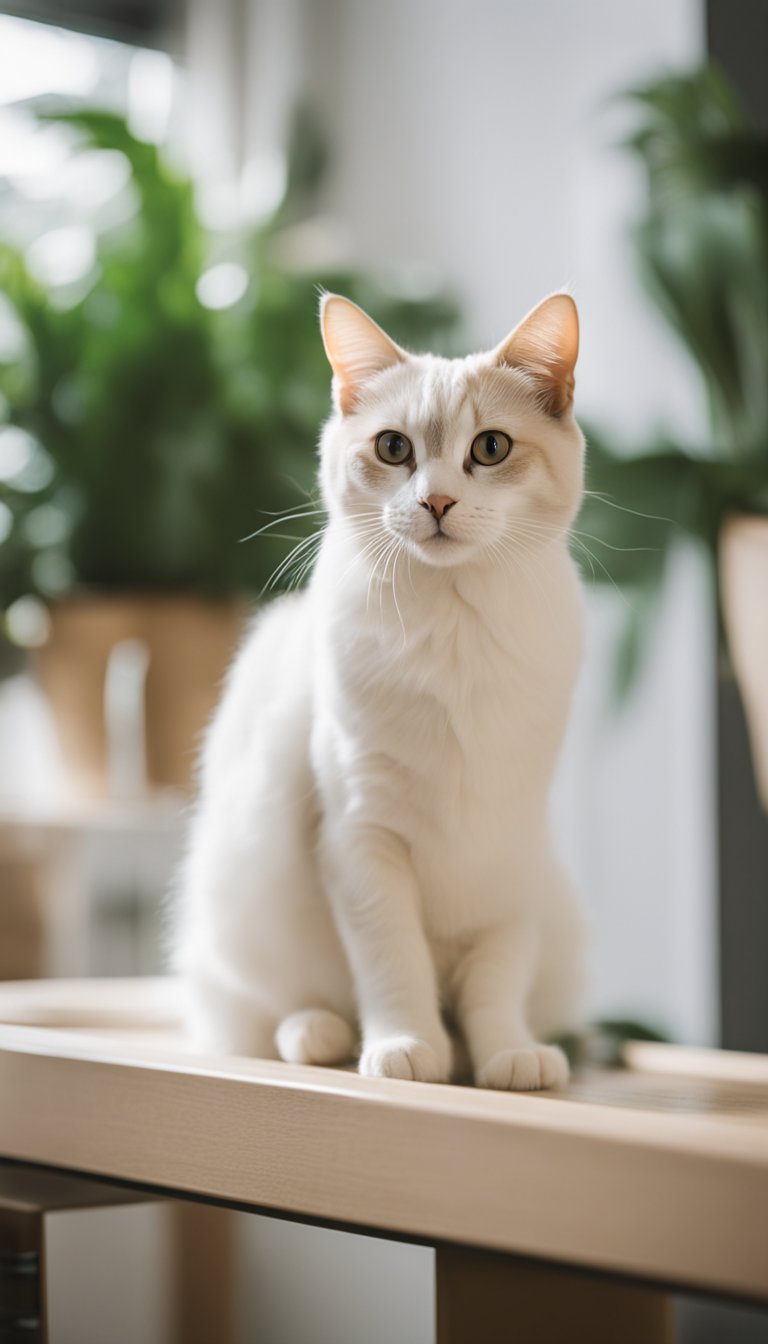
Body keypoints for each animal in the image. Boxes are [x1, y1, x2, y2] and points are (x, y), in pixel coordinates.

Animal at [176, 291, 589, 1091]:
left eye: (491, 448)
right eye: (394, 449)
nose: (436, 503)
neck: (457, 632)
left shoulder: (512, 851)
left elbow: (496, 976)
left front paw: (506, 1054)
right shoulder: (360, 836)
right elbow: (394, 960)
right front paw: (408, 1047)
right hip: (237, 911)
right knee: (257, 1016)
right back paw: (318, 1034)